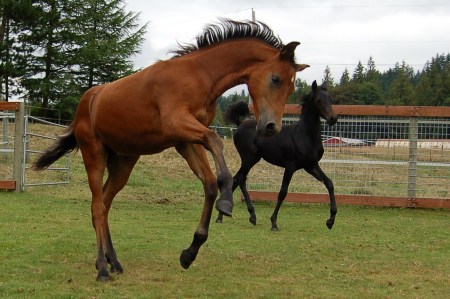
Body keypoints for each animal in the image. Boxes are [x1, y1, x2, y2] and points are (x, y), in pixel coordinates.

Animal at [33, 19, 310, 282]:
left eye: (291, 88)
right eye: (275, 78)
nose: (271, 127)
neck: (198, 76)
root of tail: (87, 102)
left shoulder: (186, 141)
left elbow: (210, 182)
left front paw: (190, 252)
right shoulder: (178, 124)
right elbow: (216, 142)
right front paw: (226, 201)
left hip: (123, 163)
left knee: (104, 204)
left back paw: (114, 262)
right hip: (94, 155)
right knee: (97, 208)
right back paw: (102, 268)